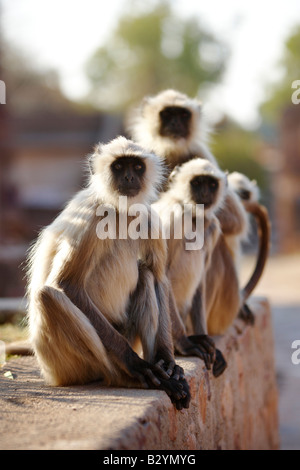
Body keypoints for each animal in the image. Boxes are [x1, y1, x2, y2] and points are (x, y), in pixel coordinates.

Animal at [26, 138, 190, 410]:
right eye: (118, 166)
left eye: (137, 166)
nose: (129, 177)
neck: (120, 211)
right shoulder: (91, 216)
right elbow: (66, 283)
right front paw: (136, 364)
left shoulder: (149, 217)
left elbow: (159, 278)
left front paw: (168, 361)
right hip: (63, 366)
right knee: (47, 295)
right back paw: (129, 377)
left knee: (146, 275)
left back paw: (158, 367)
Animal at [154, 158, 229, 378]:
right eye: (196, 183)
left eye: (211, 184)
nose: (204, 193)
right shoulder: (173, 218)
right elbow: (162, 277)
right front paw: (185, 344)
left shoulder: (212, 226)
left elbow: (200, 283)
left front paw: (206, 341)